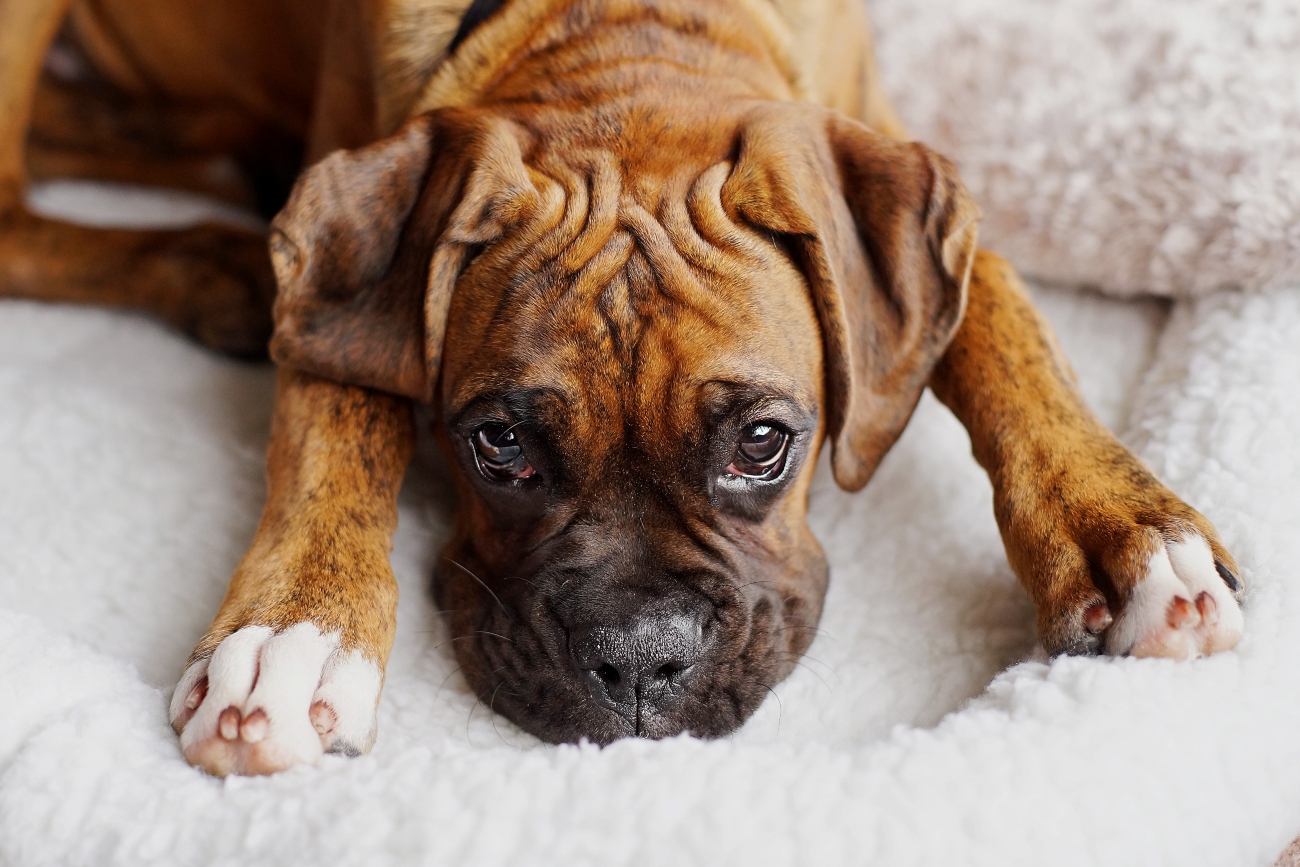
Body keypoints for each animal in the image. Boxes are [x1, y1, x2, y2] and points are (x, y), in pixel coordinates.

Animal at [0, 0, 1237, 774]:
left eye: (763, 444)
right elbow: (335, 421)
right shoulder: (345, 274)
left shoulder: (906, 186)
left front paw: (1124, 529)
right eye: (496, 444)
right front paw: (293, 635)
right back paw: (203, 261)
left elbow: (1005, 330)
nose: (641, 662)